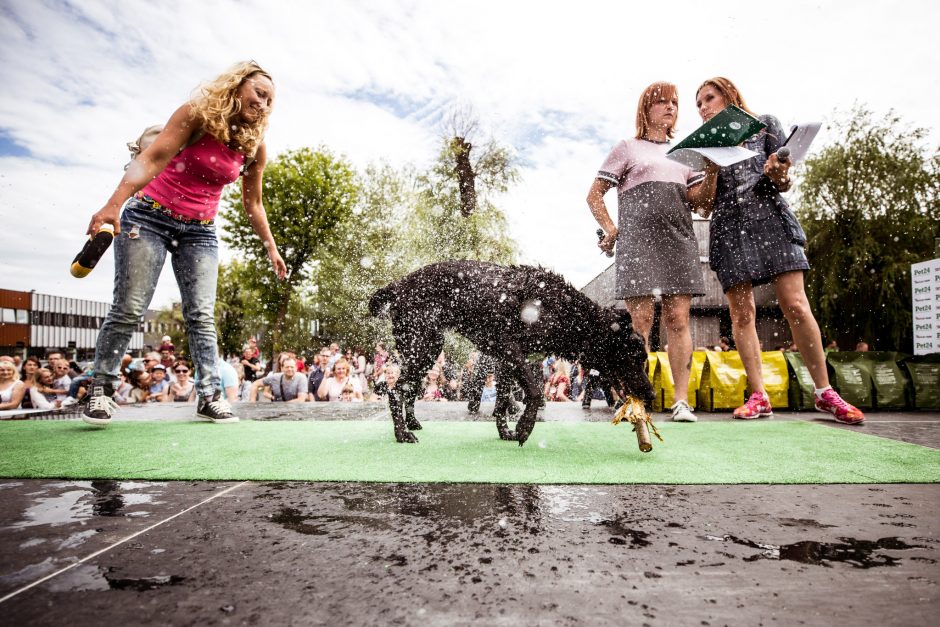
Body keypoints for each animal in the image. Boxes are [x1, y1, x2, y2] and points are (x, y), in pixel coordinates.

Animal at [368, 260, 652, 446]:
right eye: (634, 357)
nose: (650, 394)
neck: (565, 311)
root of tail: (398, 285)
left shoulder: (507, 360)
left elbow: (503, 401)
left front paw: (505, 433)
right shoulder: (508, 347)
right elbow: (534, 392)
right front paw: (524, 428)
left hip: (426, 350)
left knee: (408, 389)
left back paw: (412, 423)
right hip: (422, 346)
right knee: (395, 391)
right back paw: (402, 434)